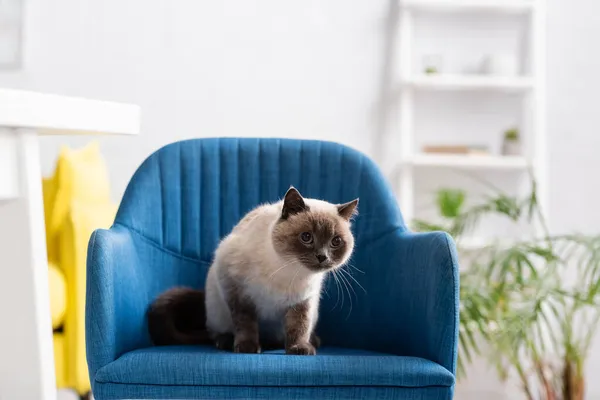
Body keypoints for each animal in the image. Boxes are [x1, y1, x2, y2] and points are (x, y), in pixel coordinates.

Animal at [148, 188, 358, 356]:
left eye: (335, 241)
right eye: (306, 237)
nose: (322, 257)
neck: (289, 270)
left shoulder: (303, 300)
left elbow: (299, 326)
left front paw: (298, 348)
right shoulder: (237, 291)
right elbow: (245, 323)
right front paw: (247, 347)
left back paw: (309, 341)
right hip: (217, 309)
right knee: (215, 332)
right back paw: (227, 342)